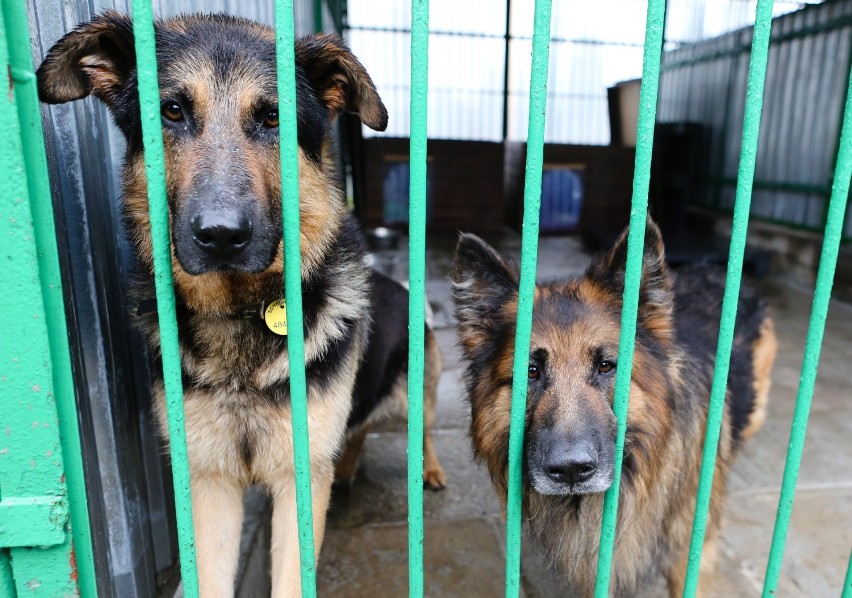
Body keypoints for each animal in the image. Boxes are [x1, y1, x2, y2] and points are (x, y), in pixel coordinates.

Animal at [36, 10, 446, 598]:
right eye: (172, 111)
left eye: (273, 118)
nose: (221, 235)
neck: (239, 315)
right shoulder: (211, 482)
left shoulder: (299, 482)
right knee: (357, 430)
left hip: (418, 396)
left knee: (424, 430)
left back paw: (429, 470)